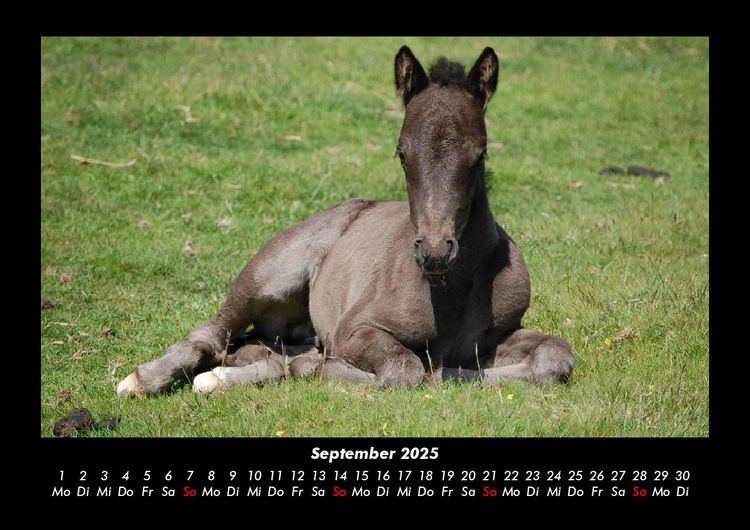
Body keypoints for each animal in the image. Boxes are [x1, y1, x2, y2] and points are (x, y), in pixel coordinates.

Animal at [117, 46, 574, 397]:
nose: (434, 250)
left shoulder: (499, 334)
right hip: (271, 273)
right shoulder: (356, 330)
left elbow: (555, 357)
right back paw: (143, 380)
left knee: (259, 348)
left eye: (479, 154)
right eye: (402, 153)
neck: (450, 291)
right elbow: (404, 370)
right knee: (213, 333)